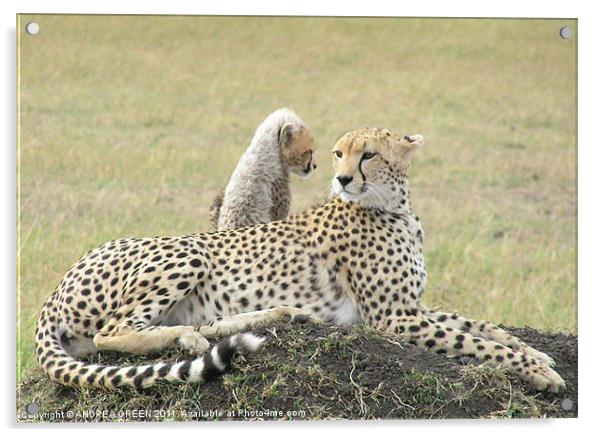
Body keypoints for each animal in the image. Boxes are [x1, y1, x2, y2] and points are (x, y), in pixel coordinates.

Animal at [35, 126, 564, 392]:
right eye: (338, 154)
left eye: (369, 155)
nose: (344, 179)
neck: (395, 207)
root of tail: (56, 287)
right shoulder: (393, 318)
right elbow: (472, 341)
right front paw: (538, 372)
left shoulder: (411, 307)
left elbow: (480, 325)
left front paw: (535, 353)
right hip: (187, 250)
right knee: (111, 334)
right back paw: (196, 335)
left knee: (187, 327)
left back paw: (263, 319)